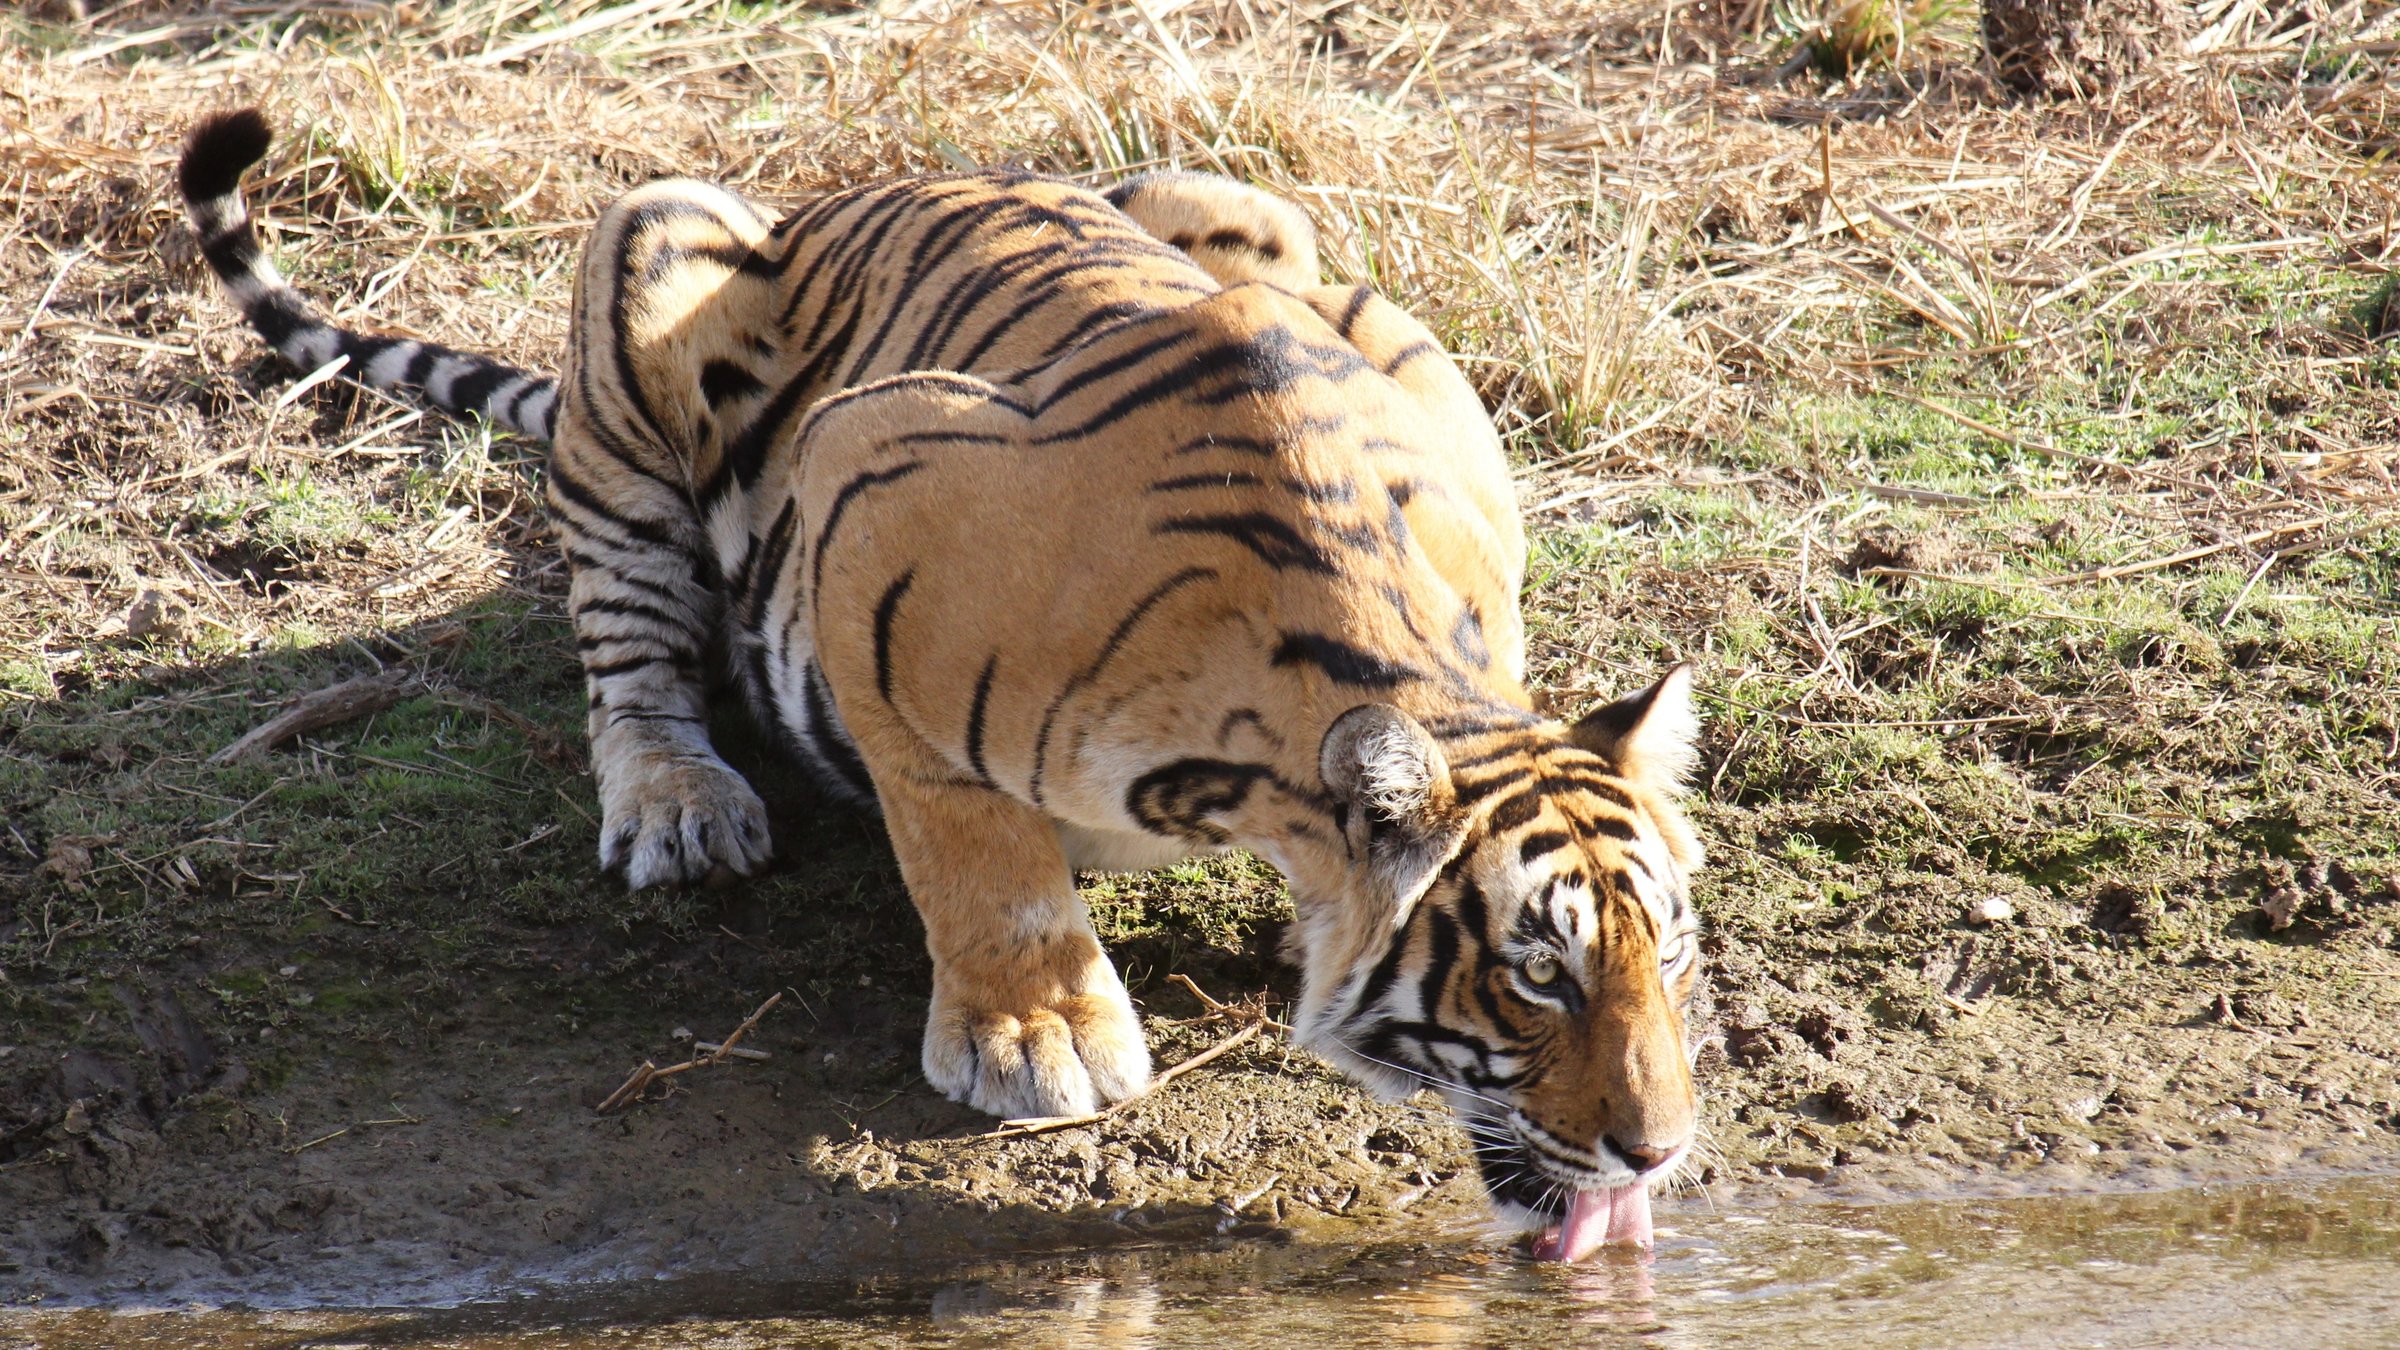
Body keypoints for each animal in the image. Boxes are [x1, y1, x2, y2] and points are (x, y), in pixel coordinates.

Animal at [178, 107, 1708, 1261]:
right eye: (1539, 975)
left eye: (1674, 952)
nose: (1661, 1150)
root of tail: (821, 206)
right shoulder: (875, 489)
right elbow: (969, 840)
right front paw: (1038, 1034)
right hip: (646, 262)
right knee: (628, 649)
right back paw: (680, 804)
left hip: (1244, 206)